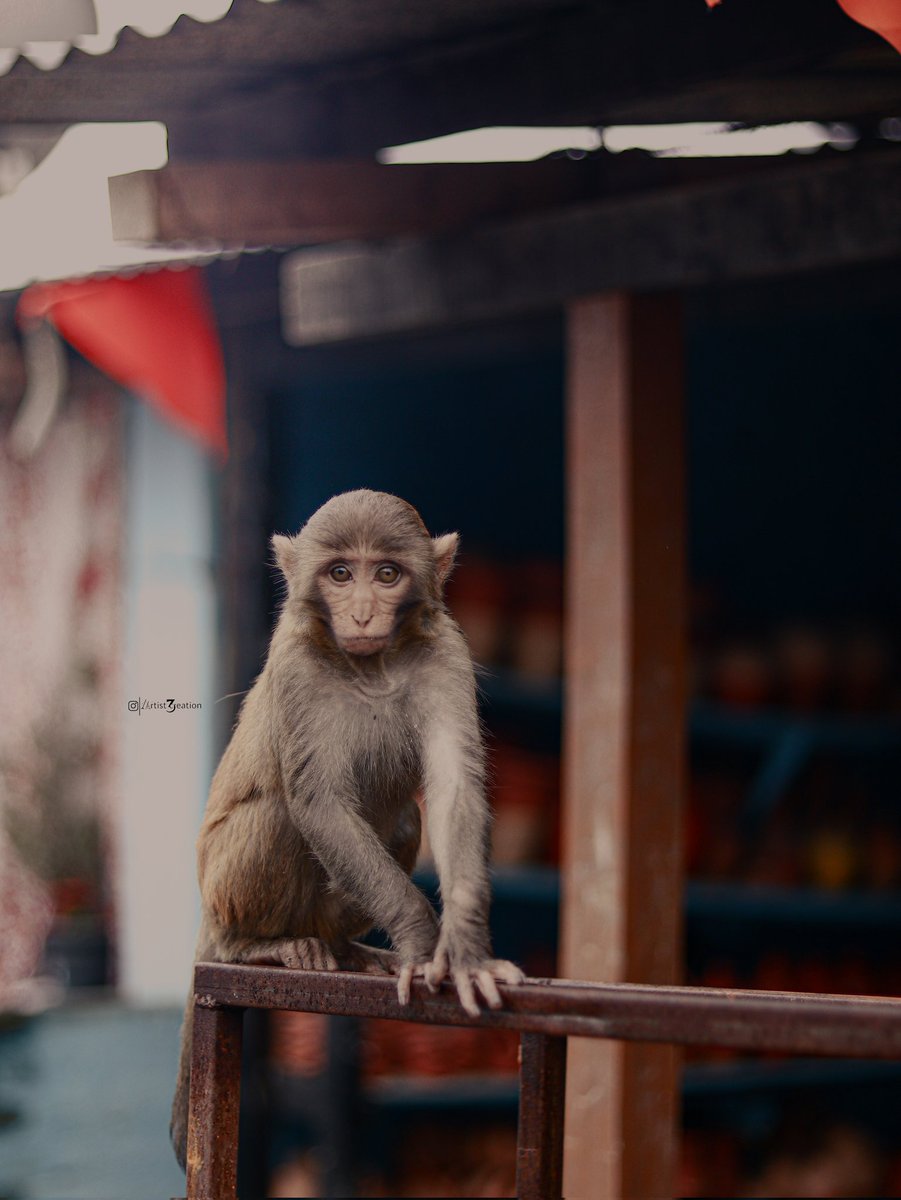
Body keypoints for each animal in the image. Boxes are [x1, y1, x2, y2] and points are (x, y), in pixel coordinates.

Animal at [171, 488, 524, 1170]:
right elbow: (319, 805)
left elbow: (453, 788)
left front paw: (465, 949)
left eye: (385, 574)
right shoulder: (295, 666)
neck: (372, 665)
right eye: (340, 573)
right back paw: (256, 946)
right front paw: (421, 941)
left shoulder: (447, 653)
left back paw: (345, 950)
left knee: (405, 815)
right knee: (282, 813)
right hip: (223, 885)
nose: (361, 612)